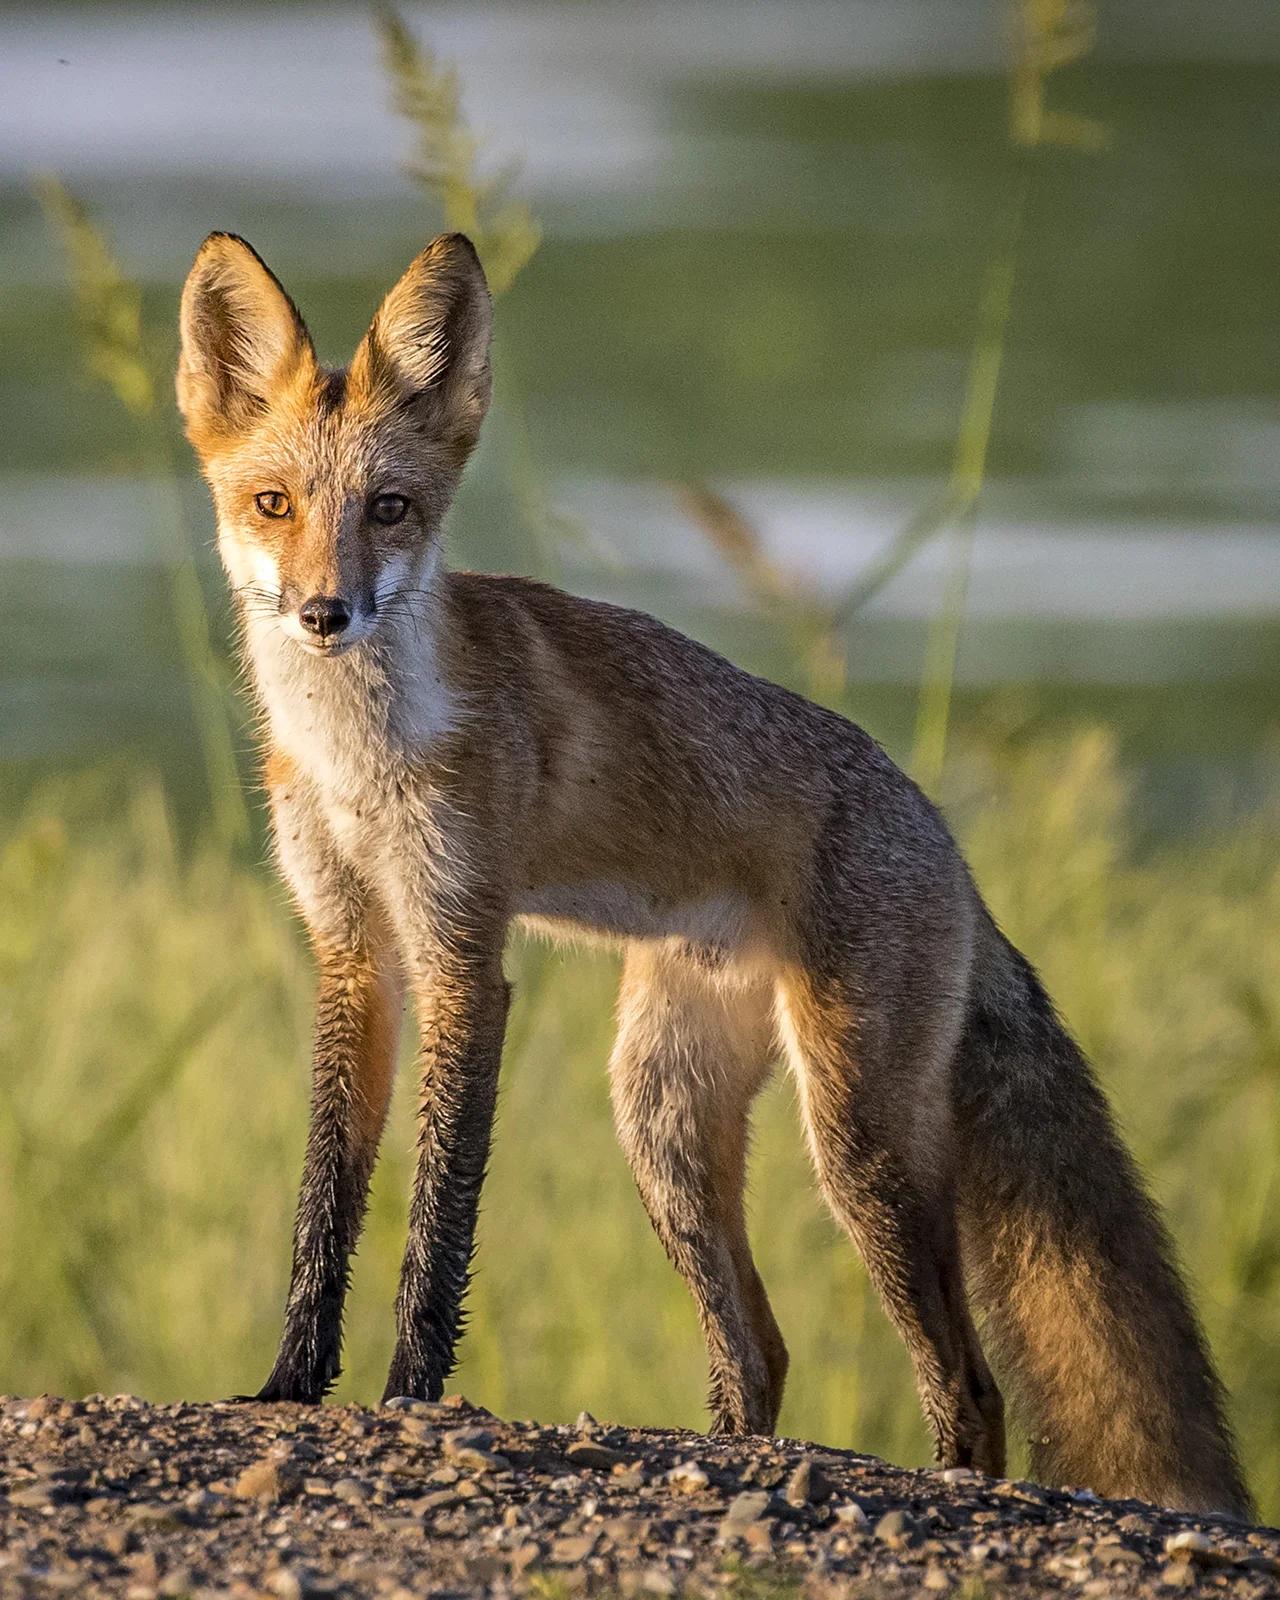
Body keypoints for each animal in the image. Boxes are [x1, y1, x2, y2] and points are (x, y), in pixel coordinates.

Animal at [176, 228, 1251, 1517]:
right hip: (663, 1118)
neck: (355, 759)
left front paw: (409, 1395)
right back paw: (730, 1453)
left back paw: (938, 1477)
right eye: (272, 505)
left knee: (970, 1384)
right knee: (760, 1349)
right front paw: (289, 1383)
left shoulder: (460, 954)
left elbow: (439, 1219)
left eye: (388, 509)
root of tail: (942, 836)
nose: (324, 612)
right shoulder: (351, 952)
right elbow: (323, 1207)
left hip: (855, 1138)